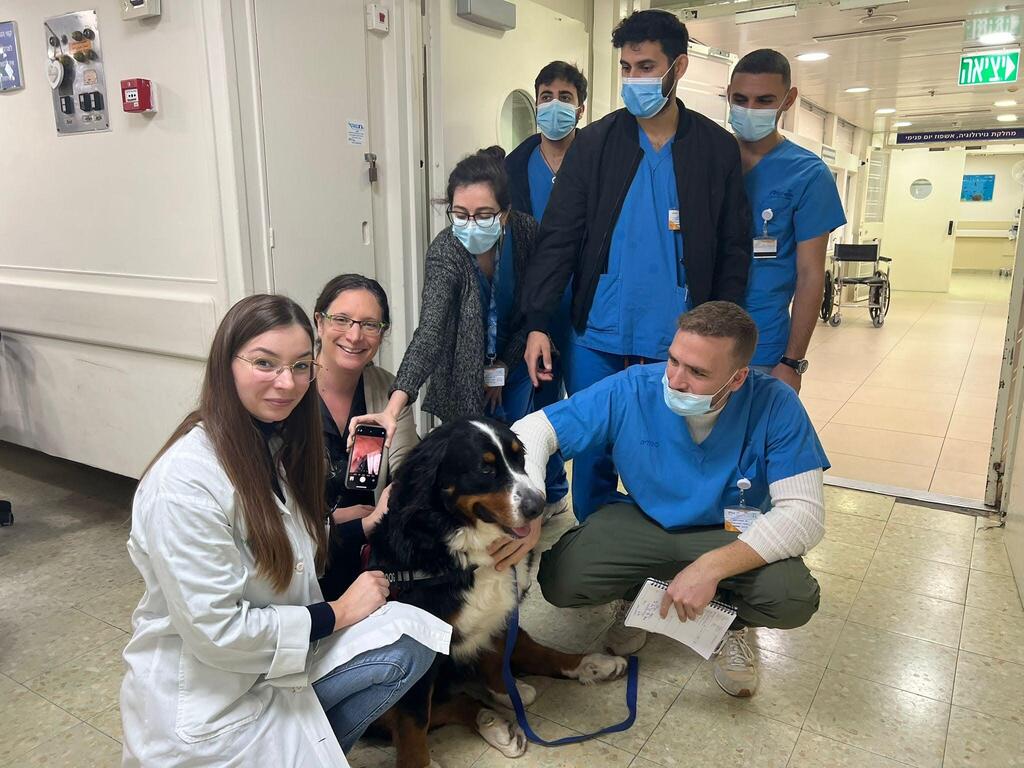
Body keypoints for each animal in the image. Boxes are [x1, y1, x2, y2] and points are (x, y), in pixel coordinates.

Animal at [366, 417, 622, 768]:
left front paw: (505, 690)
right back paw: (493, 722)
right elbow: (413, 720)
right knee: (441, 706)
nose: (537, 505)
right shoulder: (417, 645)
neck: (469, 555)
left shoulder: (499, 610)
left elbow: (497, 654)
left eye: (519, 459)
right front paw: (418, 762)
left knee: (533, 650)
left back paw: (591, 665)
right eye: (485, 469)